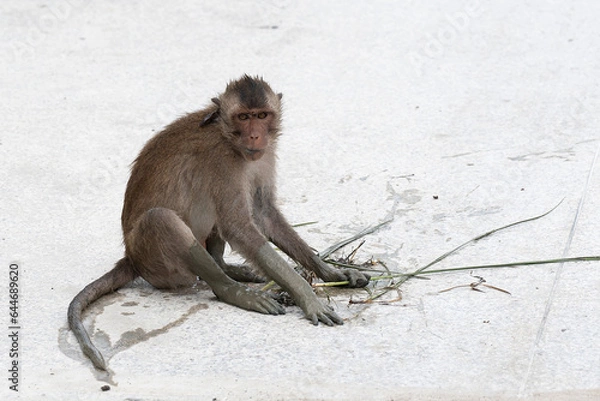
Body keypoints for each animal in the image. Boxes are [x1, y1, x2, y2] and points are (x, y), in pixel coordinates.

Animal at [69, 74, 370, 368]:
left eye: (262, 115)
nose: (255, 135)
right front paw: (307, 297)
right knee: (161, 219)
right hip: (156, 265)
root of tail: (130, 259)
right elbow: (238, 226)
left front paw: (332, 273)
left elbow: (264, 213)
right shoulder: (222, 161)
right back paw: (233, 291)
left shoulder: (265, 155)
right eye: (244, 117)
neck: (227, 136)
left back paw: (227, 268)